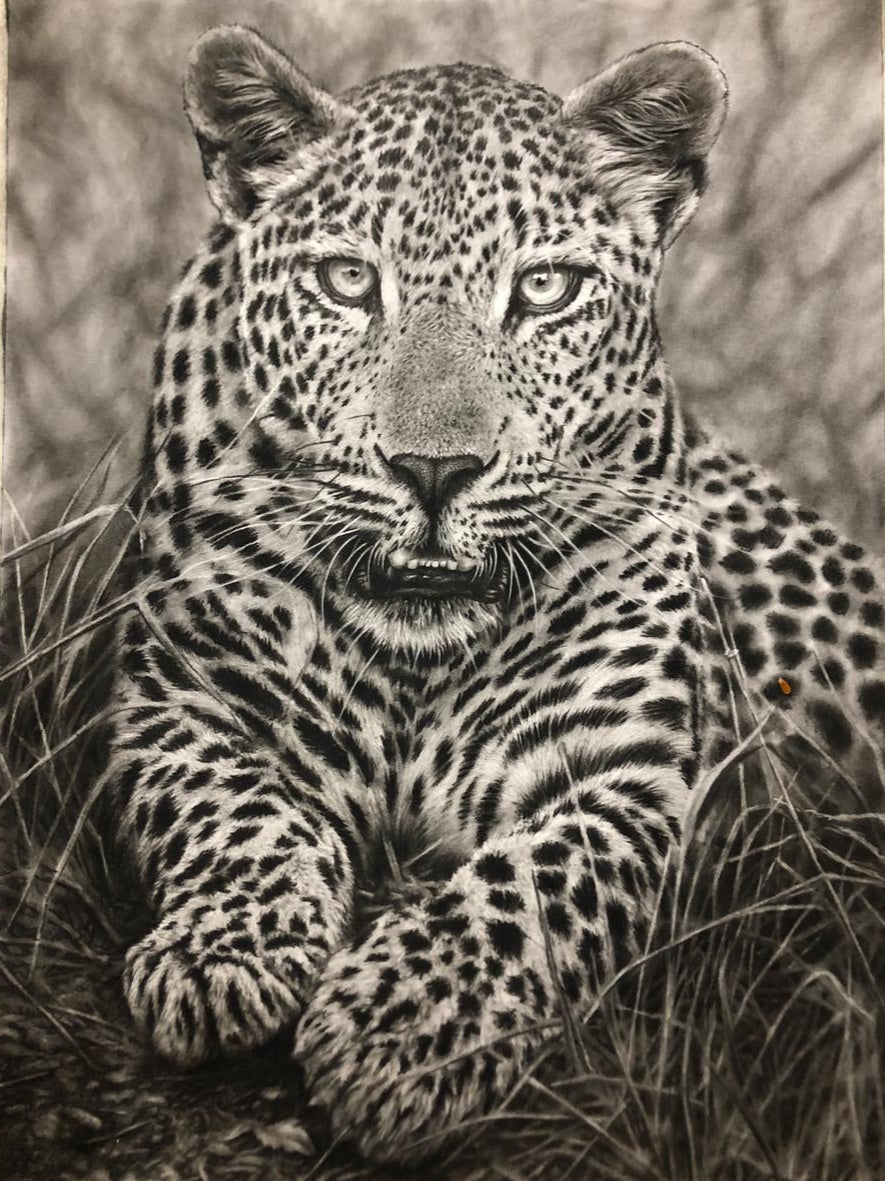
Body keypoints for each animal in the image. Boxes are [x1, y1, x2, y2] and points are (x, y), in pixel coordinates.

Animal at [110, 24, 885, 1164]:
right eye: (347, 280)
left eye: (546, 289)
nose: (434, 471)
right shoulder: (177, 700)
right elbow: (234, 811)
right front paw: (221, 954)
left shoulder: (620, 776)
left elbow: (530, 885)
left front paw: (404, 1031)